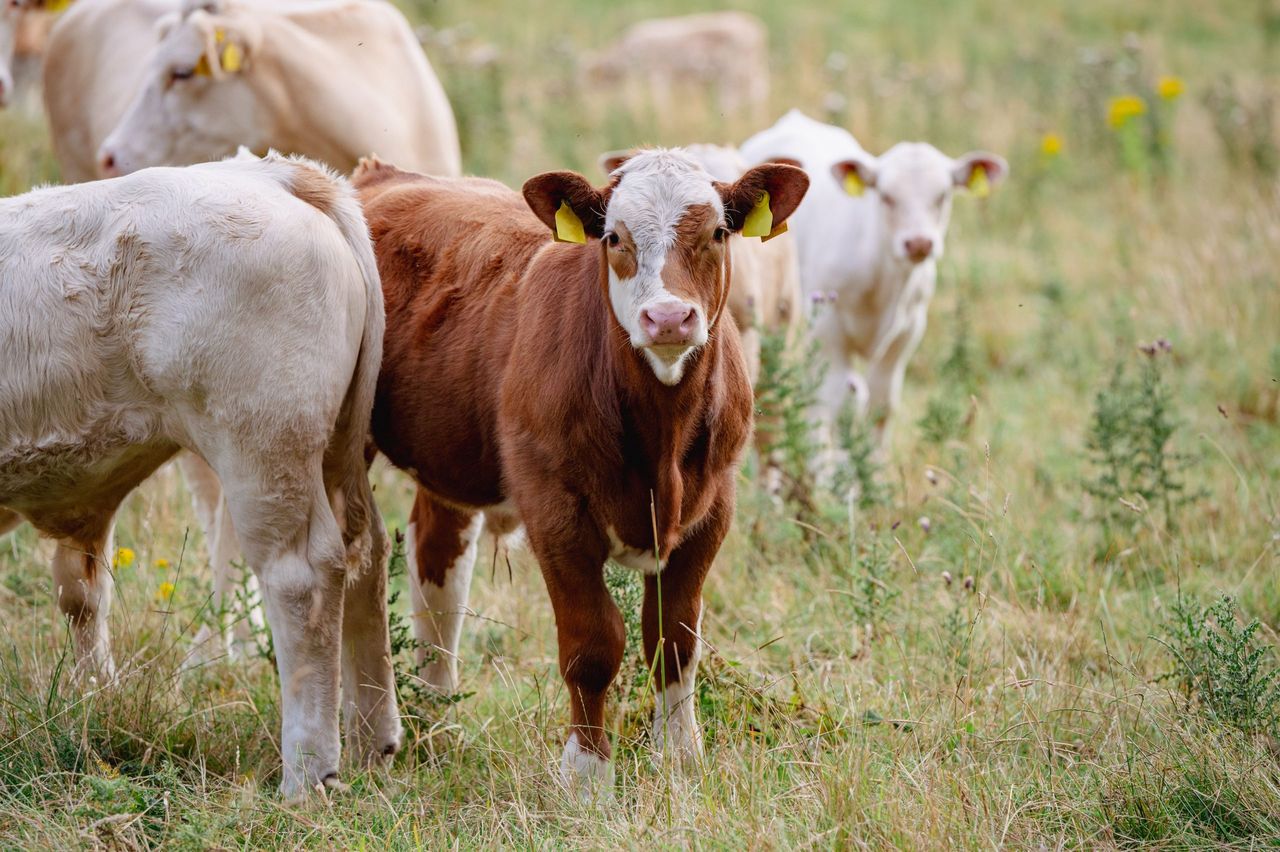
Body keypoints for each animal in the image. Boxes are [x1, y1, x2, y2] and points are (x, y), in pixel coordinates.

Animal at [0, 152, 400, 798]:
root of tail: (274, 174)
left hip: (262, 449)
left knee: (304, 578)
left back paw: (306, 775)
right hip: (337, 447)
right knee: (366, 551)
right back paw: (371, 742)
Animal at [352, 150, 808, 795]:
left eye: (718, 233)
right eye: (614, 238)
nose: (669, 318)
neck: (661, 443)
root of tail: (381, 173)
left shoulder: (713, 506)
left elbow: (674, 636)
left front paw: (680, 758)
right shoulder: (555, 511)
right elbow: (593, 645)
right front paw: (587, 774)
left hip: (450, 456)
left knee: (437, 565)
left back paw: (437, 722)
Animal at [583, 12, 769, 118]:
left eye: (591, 79)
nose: (590, 106)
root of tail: (756, 29)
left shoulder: (656, 72)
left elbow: (659, 101)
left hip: (736, 70)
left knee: (738, 98)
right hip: (749, 70)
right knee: (756, 92)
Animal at [740, 109, 1007, 460]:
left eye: (943, 196)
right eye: (886, 196)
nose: (919, 243)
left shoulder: (907, 332)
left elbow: (881, 405)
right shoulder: (826, 328)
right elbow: (828, 400)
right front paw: (823, 468)